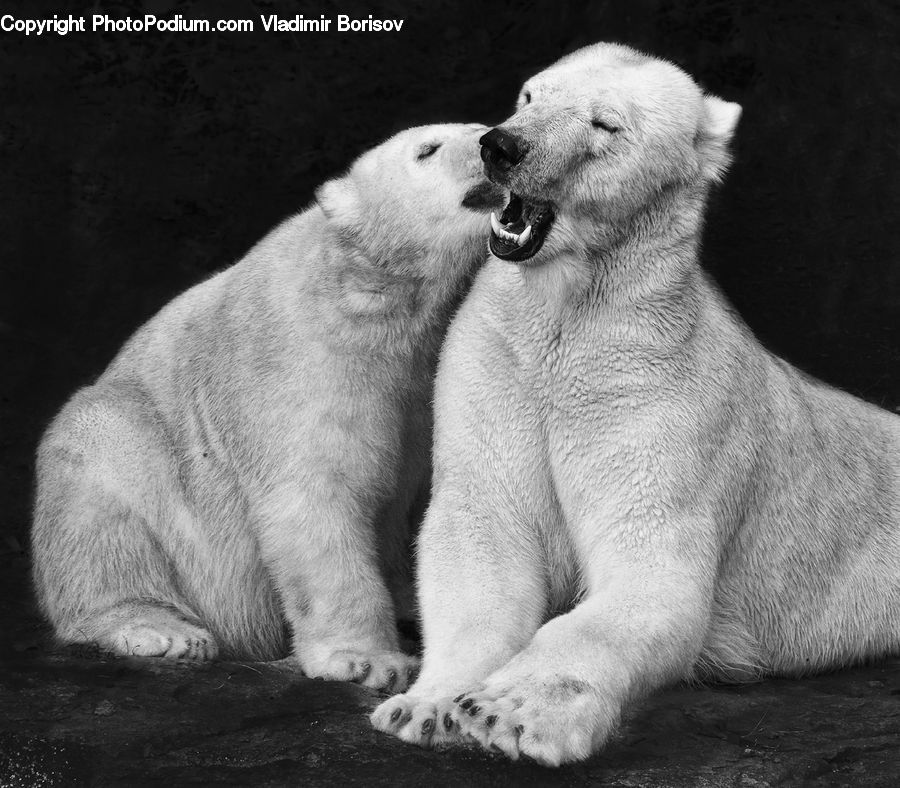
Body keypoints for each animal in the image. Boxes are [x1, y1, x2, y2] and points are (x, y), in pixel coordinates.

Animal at [31, 123, 504, 692]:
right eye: (427, 150)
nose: (491, 142)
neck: (370, 296)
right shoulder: (301, 367)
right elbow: (314, 502)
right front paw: (367, 659)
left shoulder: (418, 387)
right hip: (129, 456)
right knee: (100, 489)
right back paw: (158, 628)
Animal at [372, 43, 900, 762]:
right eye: (531, 96)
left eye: (605, 124)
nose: (501, 145)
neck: (571, 319)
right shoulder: (497, 366)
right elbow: (481, 534)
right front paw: (425, 708)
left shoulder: (663, 401)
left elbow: (650, 582)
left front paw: (508, 713)